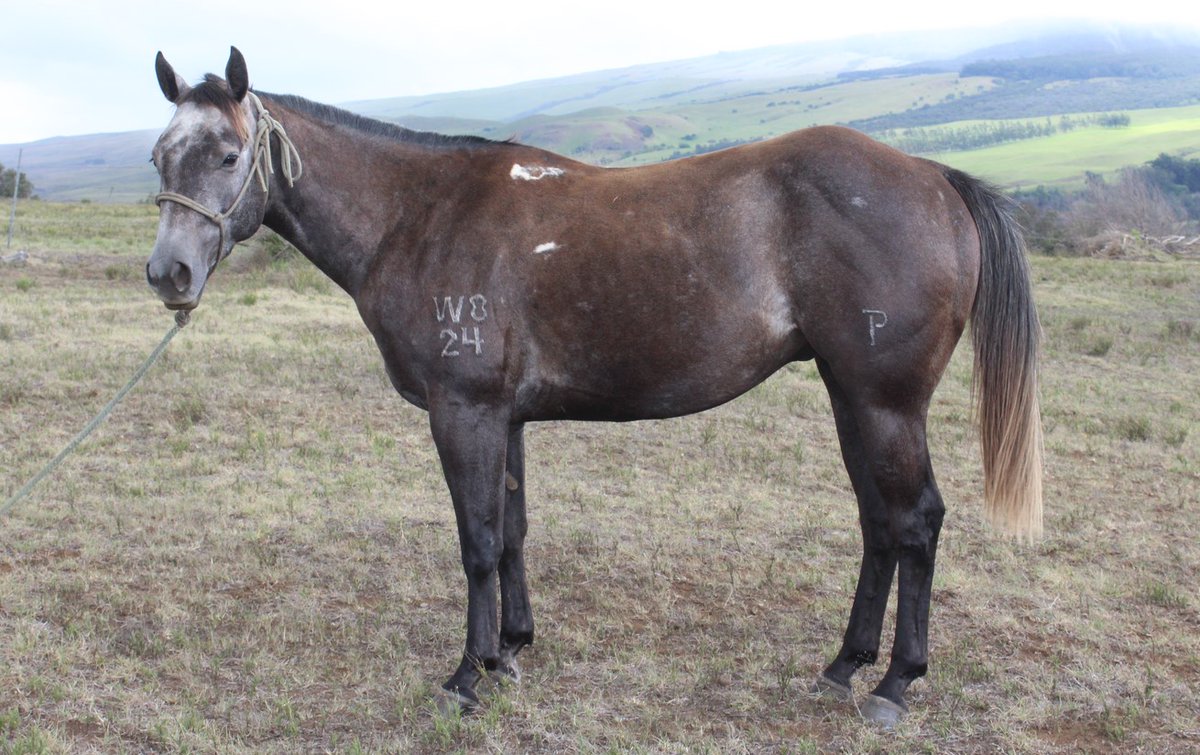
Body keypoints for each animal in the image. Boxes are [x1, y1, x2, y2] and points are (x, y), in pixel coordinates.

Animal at [146, 47, 1042, 726]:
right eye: (159, 155)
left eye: (229, 155)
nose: (169, 274)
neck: (421, 215)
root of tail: (932, 176)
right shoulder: (504, 418)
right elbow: (511, 531)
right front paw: (509, 651)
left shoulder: (464, 412)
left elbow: (476, 541)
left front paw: (466, 676)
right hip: (852, 398)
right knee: (880, 525)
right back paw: (844, 666)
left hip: (883, 403)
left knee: (915, 521)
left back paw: (894, 683)